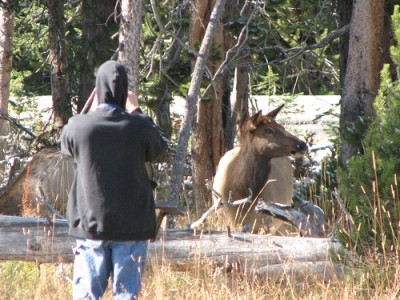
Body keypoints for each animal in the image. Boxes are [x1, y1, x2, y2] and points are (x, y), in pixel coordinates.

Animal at [214, 105, 308, 234]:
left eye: (282, 127)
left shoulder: (264, 223)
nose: (302, 145)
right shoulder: (224, 220)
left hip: (283, 216)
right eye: (268, 130)